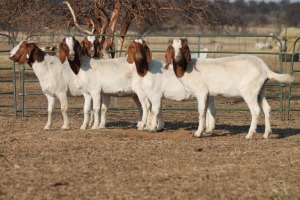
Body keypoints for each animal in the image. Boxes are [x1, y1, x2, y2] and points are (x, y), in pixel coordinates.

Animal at [164, 38, 292, 139]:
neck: (187, 68)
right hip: (260, 90)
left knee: (255, 110)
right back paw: (266, 134)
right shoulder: (208, 94)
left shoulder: (201, 92)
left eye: (183, 48)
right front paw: (206, 130)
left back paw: (249, 135)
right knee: (267, 108)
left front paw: (198, 133)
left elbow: (201, 111)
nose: (178, 57)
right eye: (171, 48)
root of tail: (265, 69)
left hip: (249, 91)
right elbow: (207, 110)